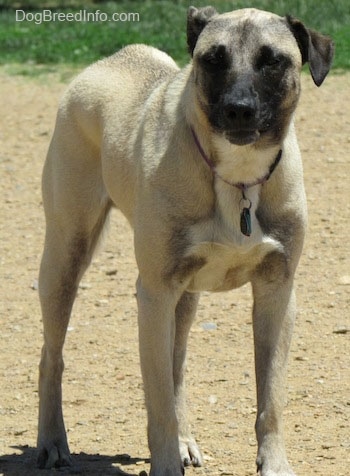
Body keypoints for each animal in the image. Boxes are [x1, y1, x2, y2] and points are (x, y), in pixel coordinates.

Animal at [37, 5, 334, 474]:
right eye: (212, 59)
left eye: (273, 61)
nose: (239, 110)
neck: (236, 176)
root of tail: (109, 60)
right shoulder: (155, 294)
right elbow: (158, 403)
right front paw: (164, 463)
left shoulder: (277, 291)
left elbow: (270, 400)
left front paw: (274, 463)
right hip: (66, 257)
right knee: (53, 357)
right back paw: (51, 441)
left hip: (184, 297)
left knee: (175, 367)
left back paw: (183, 440)